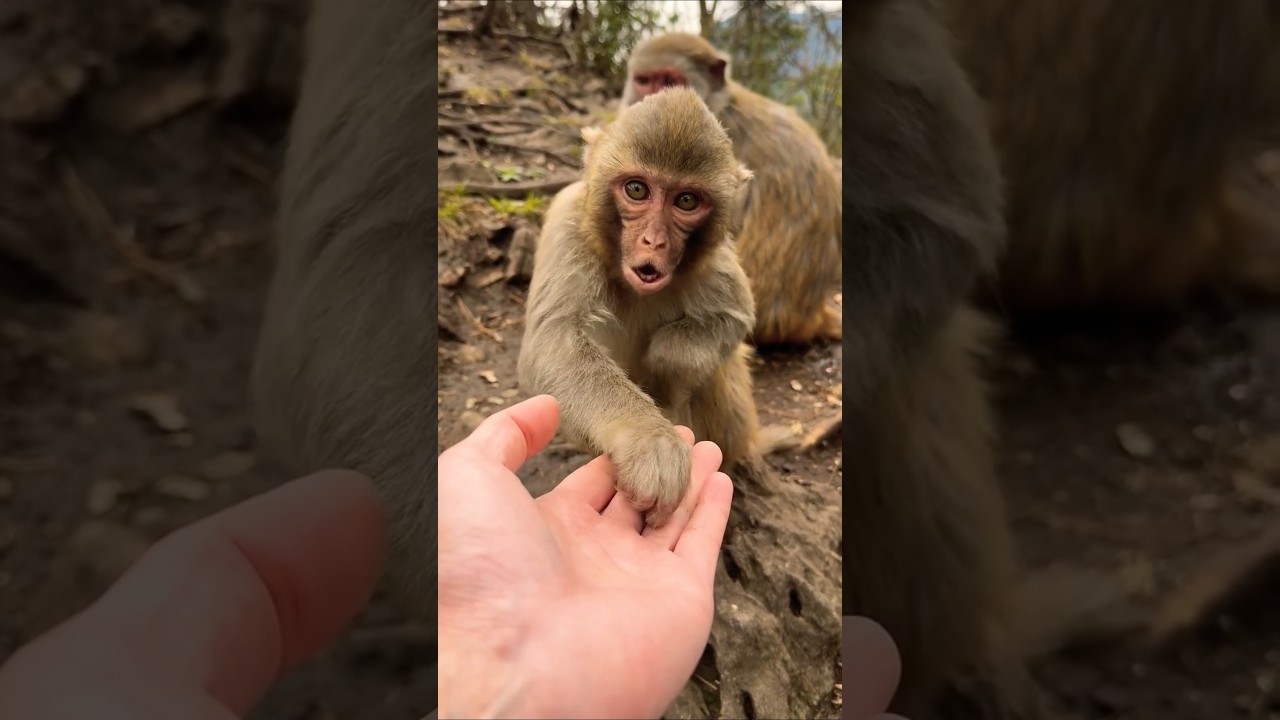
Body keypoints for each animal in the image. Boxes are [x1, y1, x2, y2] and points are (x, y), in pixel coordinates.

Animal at [516, 86, 762, 527]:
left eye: (686, 201)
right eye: (636, 190)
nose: (654, 241)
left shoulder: (713, 258)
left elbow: (734, 319)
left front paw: (667, 360)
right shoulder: (567, 223)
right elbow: (555, 339)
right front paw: (650, 440)